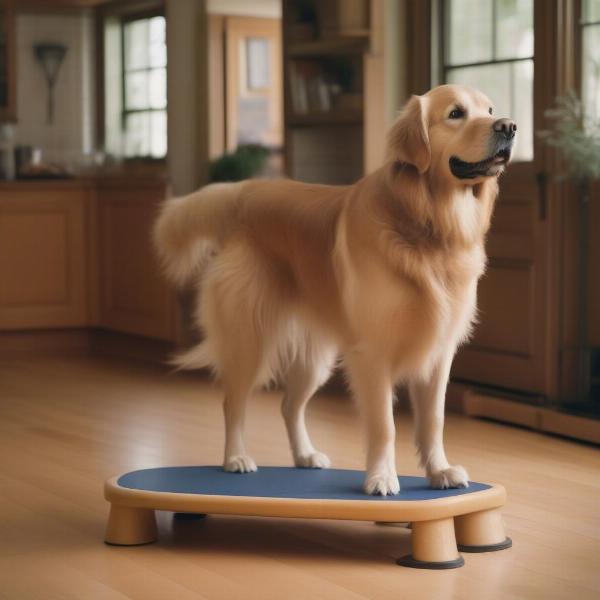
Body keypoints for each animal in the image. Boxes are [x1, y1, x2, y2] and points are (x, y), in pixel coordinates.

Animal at [155, 85, 516, 496]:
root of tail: (246, 192)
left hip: (316, 356)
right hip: (249, 339)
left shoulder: (438, 353)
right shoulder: (373, 354)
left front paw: (439, 471)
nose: (509, 126)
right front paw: (381, 477)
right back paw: (236, 457)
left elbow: (433, 420)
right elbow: (384, 425)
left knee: (289, 405)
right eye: (456, 113)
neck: (429, 223)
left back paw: (305, 455)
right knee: (233, 404)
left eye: (490, 110)